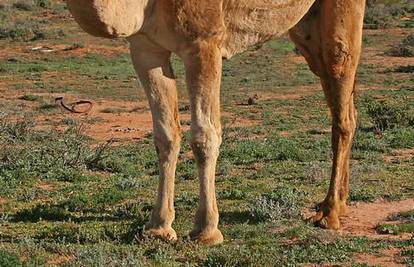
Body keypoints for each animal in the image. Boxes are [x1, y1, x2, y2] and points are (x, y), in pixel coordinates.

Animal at [67, 0, 366, 246]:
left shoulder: (204, 43)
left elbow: (204, 136)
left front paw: (206, 230)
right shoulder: (145, 47)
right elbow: (165, 135)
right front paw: (158, 227)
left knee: (342, 97)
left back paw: (330, 213)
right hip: (305, 29)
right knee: (345, 105)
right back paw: (340, 200)